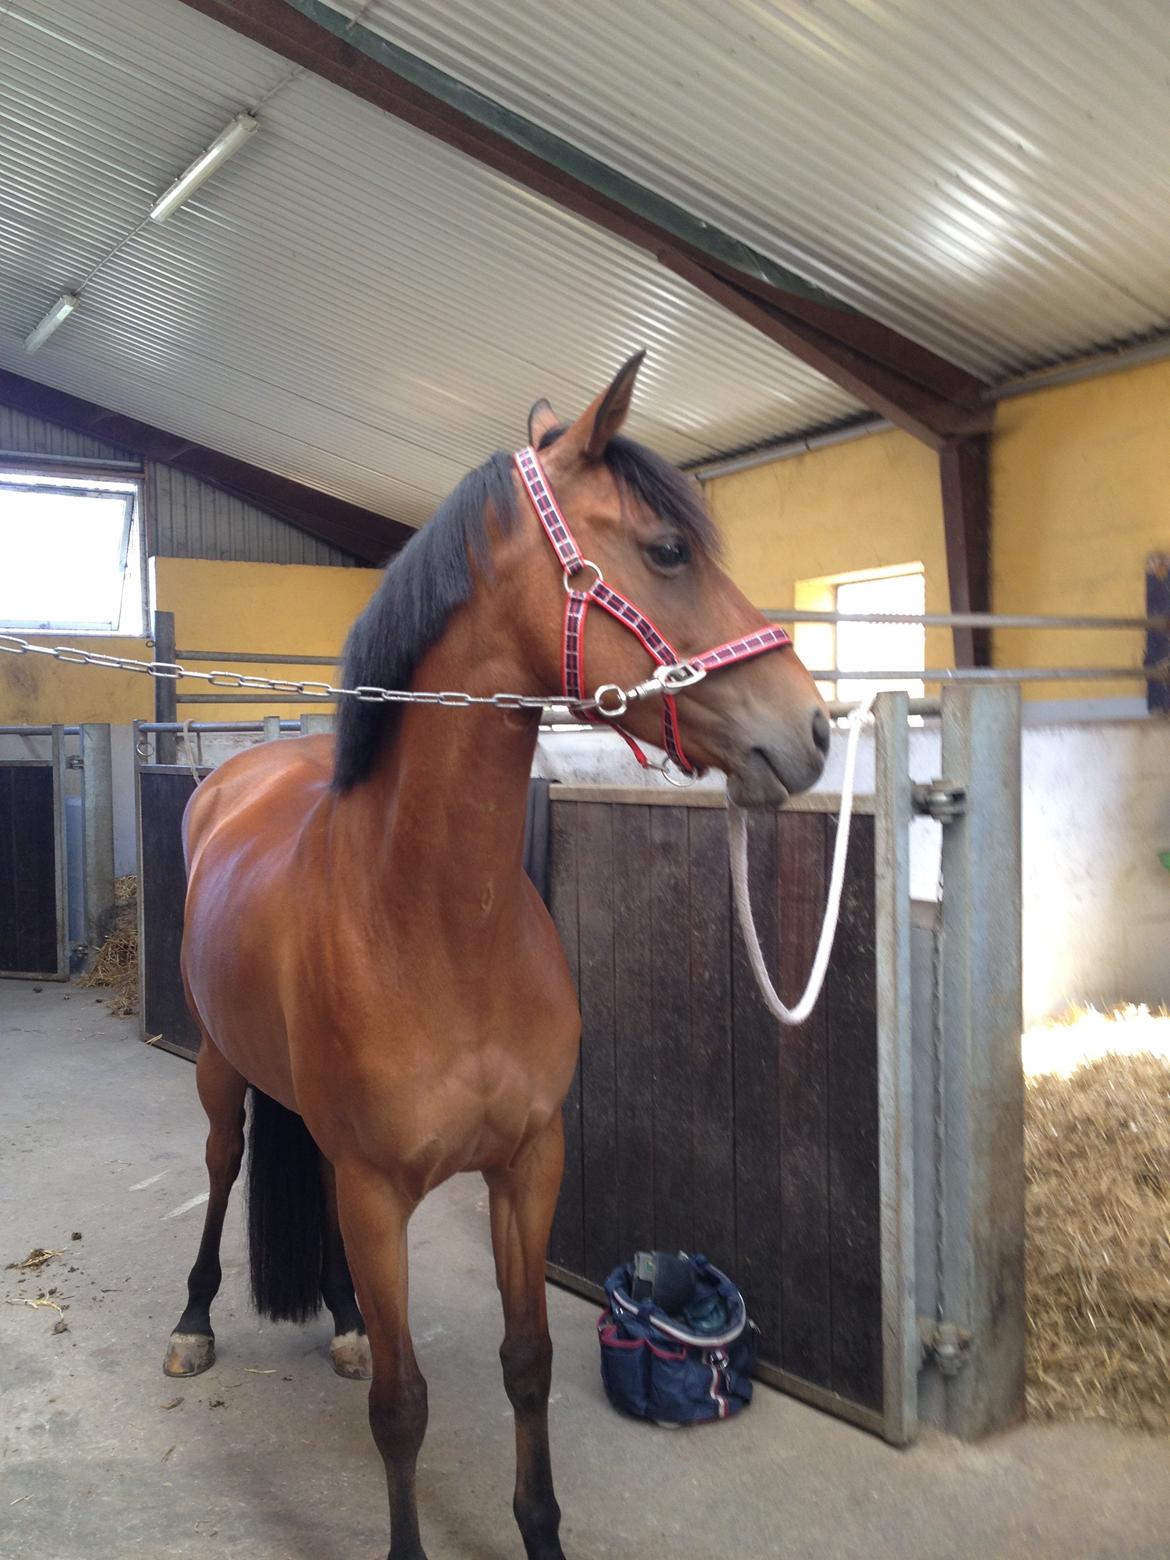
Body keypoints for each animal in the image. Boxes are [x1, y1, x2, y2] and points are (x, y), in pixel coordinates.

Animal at [163, 352, 829, 1560]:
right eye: (667, 550)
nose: (812, 730)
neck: (435, 924)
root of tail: (240, 775)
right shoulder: (380, 1193)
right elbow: (402, 1406)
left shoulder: (529, 1163)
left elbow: (530, 1363)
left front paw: (542, 1529)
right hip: (220, 1072)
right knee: (223, 1166)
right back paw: (192, 1320)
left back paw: (341, 1320)